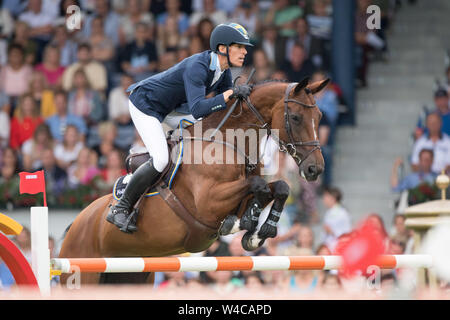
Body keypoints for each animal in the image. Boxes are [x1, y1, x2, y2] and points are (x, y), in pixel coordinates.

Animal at [58, 76, 328, 284]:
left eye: (319, 117)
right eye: (296, 117)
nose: (315, 169)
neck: (229, 143)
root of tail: (75, 224)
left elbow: (278, 187)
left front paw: (259, 231)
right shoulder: (208, 204)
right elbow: (257, 187)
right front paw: (243, 224)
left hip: (132, 276)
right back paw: (120, 215)